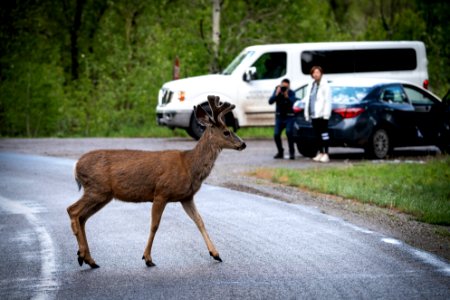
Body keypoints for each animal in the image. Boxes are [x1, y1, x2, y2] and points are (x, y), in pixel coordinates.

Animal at [67, 95, 246, 268]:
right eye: (226, 132)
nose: (243, 144)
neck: (189, 165)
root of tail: (76, 166)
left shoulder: (186, 197)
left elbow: (200, 221)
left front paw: (216, 254)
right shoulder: (161, 192)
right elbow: (154, 225)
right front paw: (147, 258)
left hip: (103, 195)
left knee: (82, 218)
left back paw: (89, 259)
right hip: (97, 189)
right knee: (72, 210)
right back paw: (82, 255)